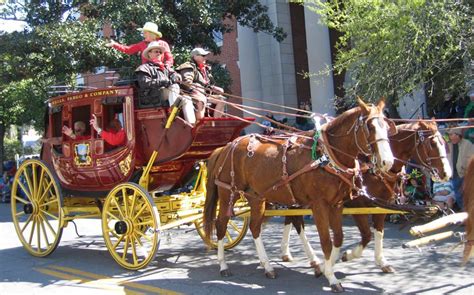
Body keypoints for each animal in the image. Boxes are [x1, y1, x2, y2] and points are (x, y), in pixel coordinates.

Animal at [202, 98, 394, 292]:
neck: (326, 157)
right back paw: (223, 265)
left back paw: (268, 266)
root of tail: (225, 147)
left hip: (257, 197)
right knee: (221, 224)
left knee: (255, 227)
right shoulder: (319, 205)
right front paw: (331, 277)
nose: (388, 162)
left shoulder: (337, 204)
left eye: (387, 126)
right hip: (228, 193)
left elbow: (339, 238)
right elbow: (326, 241)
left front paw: (329, 265)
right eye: (369, 127)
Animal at [280, 121, 454, 274]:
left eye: (443, 143)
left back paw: (288, 253)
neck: (373, 168)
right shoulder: (357, 203)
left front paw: (382, 262)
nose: (447, 173)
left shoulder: (380, 204)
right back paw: (313, 259)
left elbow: (378, 232)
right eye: (432, 144)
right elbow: (366, 235)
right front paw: (345, 256)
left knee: (292, 219)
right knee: (296, 221)